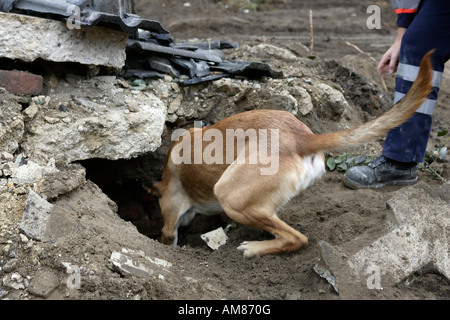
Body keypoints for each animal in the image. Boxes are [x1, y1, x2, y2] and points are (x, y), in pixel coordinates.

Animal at [147, 51, 432, 258]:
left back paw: (254, 249)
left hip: (230, 195)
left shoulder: (171, 213)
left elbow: (168, 234)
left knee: (298, 239)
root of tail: (303, 138)